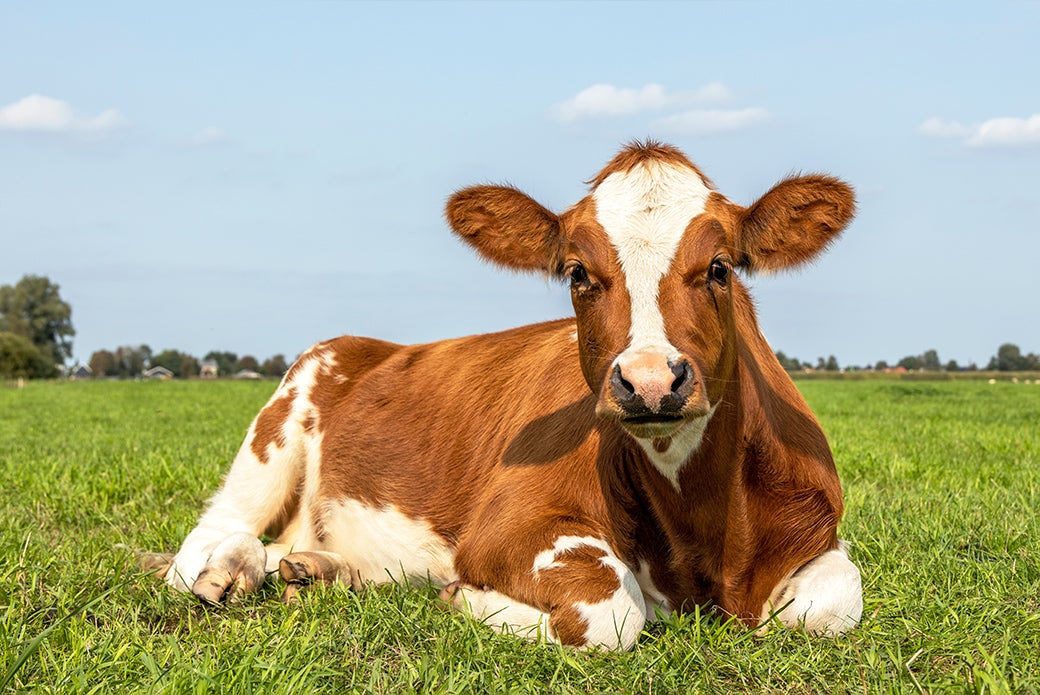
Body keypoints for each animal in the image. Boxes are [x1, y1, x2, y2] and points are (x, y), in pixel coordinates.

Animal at [159, 141, 862, 650]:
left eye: (720, 268)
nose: (651, 381)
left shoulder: (818, 532)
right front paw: (462, 596)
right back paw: (230, 569)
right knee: (205, 541)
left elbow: (833, 604)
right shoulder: (507, 526)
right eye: (578, 273)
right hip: (277, 427)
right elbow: (611, 610)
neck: (702, 540)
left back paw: (320, 571)